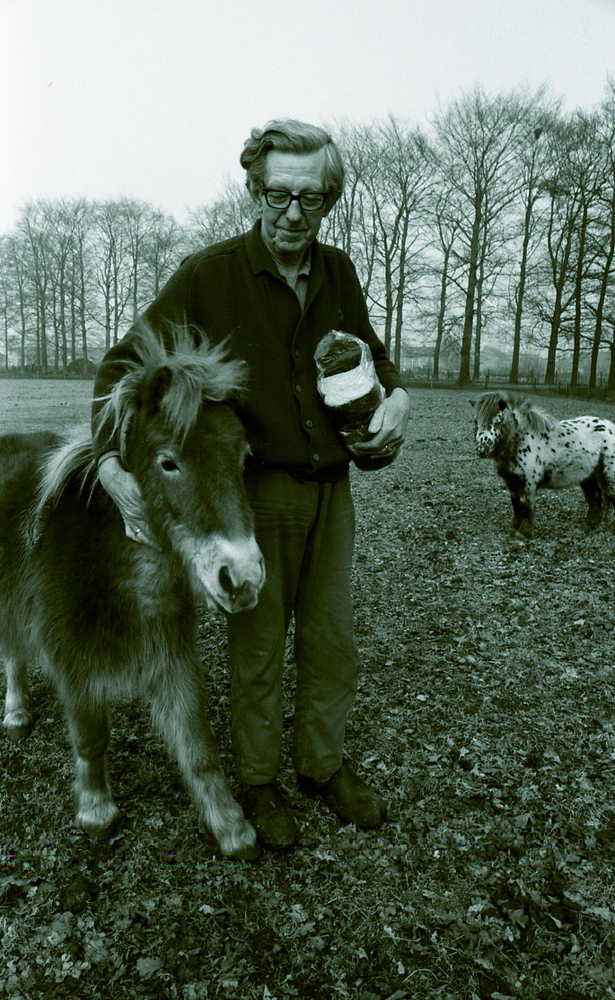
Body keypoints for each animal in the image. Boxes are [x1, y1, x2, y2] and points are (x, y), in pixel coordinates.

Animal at [0, 323, 265, 859]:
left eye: (243, 457)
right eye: (168, 463)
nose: (243, 577)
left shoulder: (174, 657)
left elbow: (197, 743)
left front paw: (230, 825)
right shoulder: (74, 665)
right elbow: (91, 738)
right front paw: (96, 813)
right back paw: (15, 712)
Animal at [472, 390, 615, 536]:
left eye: (497, 423)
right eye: (476, 422)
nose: (482, 450)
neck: (521, 438)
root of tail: (610, 426)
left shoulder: (528, 483)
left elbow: (527, 505)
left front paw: (526, 532)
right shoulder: (512, 483)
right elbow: (516, 504)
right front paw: (516, 527)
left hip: (608, 475)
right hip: (588, 475)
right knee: (595, 496)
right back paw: (590, 525)